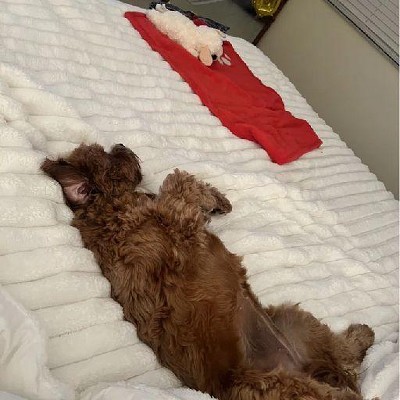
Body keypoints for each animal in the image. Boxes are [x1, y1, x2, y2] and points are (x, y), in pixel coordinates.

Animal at [42, 143, 375, 400]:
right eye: (108, 158)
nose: (122, 145)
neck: (109, 212)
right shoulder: (179, 223)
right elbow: (178, 180)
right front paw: (213, 198)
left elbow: (180, 184)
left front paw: (217, 201)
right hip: (277, 385)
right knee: (343, 385)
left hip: (296, 322)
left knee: (344, 354)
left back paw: (362, 336)